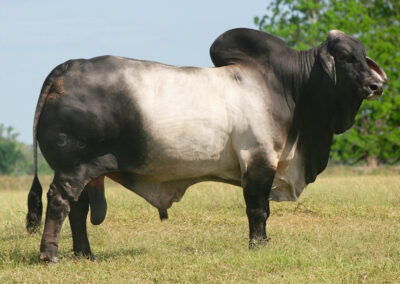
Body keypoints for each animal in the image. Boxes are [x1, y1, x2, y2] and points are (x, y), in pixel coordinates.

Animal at [25, 28, 388, 262]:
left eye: (363, 55)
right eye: (345, 57)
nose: (377, 85)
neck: (291, 88)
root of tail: (68, 68)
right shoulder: (258, 161)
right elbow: (258, 210)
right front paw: (259, 247)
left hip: (87, 172)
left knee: (78, 210)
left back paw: (85, 255)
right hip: (72, 168)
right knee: (59, 202)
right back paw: (50, 255)